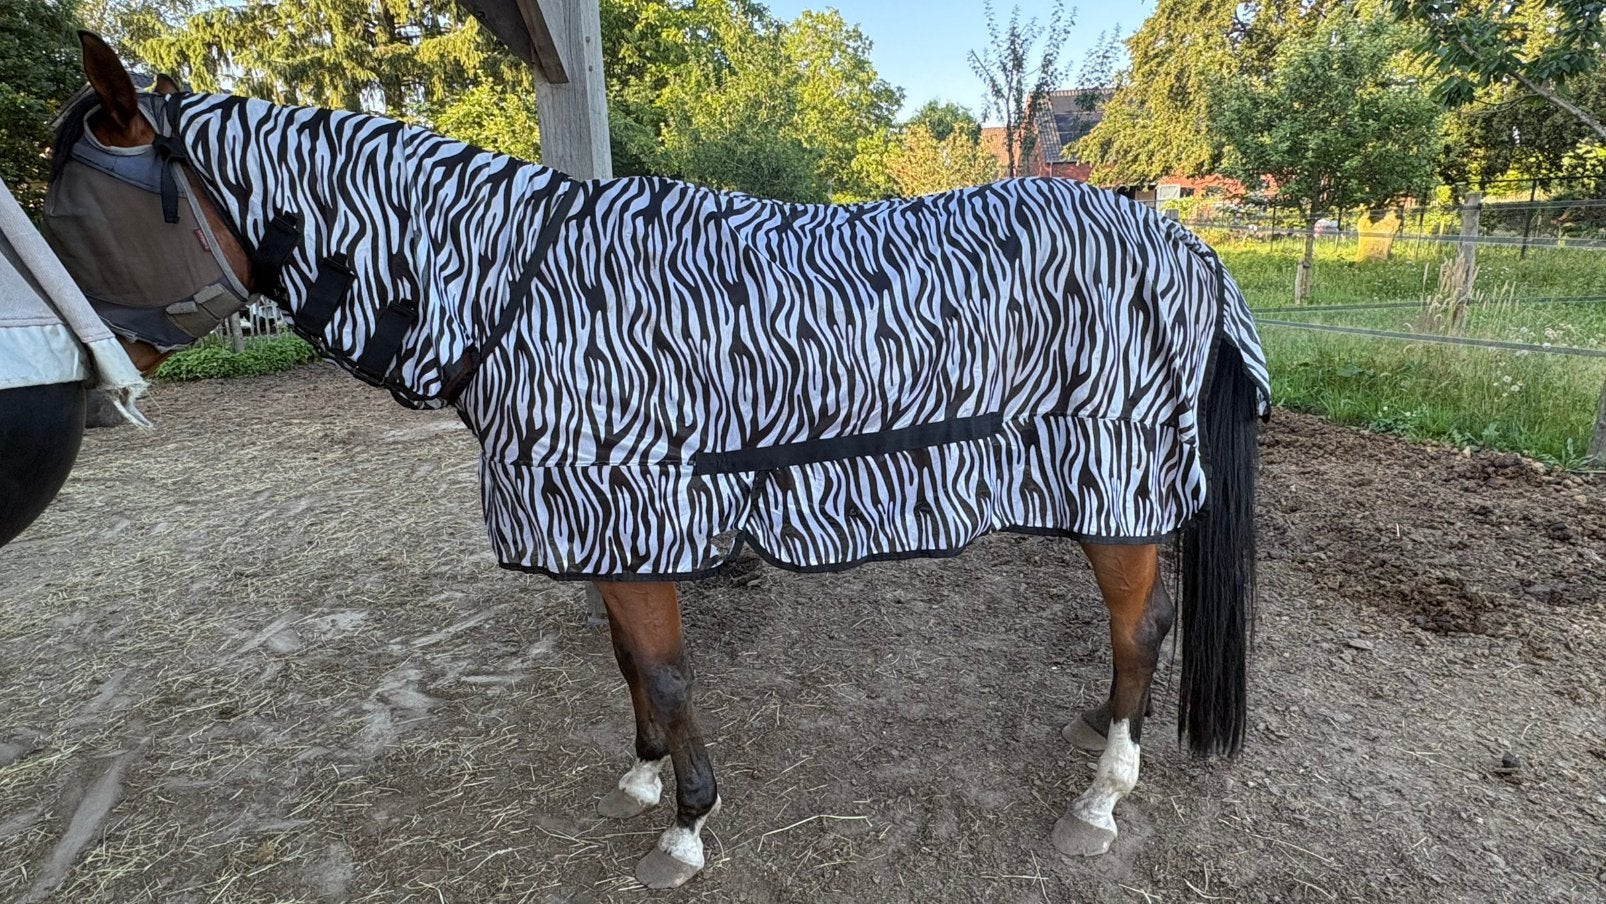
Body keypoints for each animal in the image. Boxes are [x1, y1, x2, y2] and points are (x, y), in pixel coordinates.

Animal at [37, 32, 1268, 889]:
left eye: (78, 216)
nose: (76, 394)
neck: (519, 288)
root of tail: (1187, 241)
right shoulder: (598, 526)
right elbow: (627, 663)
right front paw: (640, 775)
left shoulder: (630, 518)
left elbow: (668, 672)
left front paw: (686, 826)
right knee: (1136, 632)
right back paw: (1107, 726)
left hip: (1116, 490)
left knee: (1144, 625)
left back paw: (1103, 795)